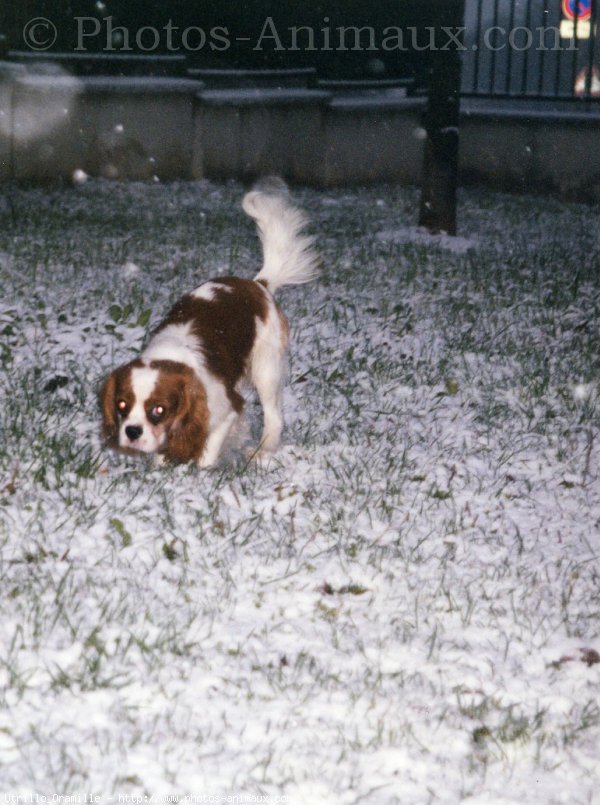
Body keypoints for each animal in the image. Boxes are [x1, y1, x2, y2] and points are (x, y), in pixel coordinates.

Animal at [99, 184, 318, 464]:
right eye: (122, 405)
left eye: (158, 410)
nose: (132, 431)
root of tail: (258, 283)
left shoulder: (226, 409)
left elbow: (207, 452)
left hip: (266, 370)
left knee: (274, 416)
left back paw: (263, 450)